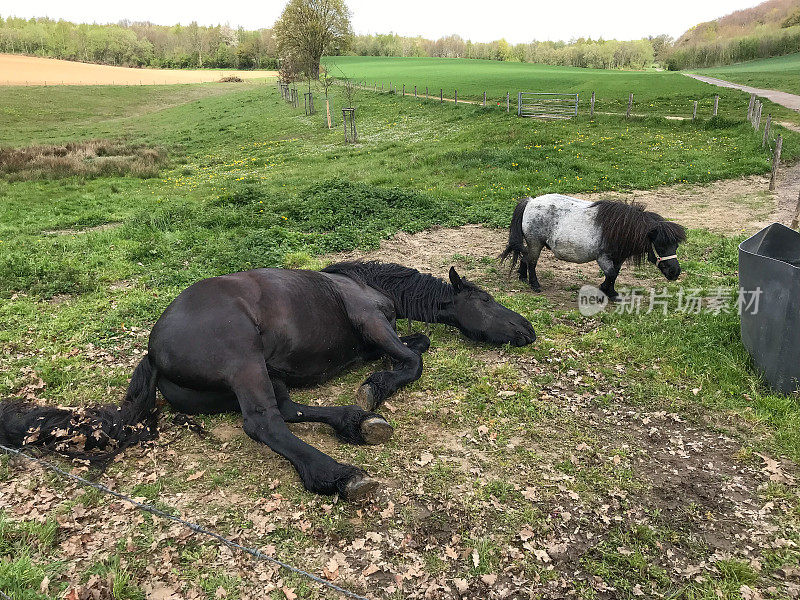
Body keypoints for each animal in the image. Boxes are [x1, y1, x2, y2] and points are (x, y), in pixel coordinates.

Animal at [3, 260, 536, 500]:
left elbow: (417, 344)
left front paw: (370, 394)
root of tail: (153, 352)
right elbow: (411, 359)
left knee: (286, 409)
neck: (362, 285)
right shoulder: (372, 324)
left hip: (252, 377)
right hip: (245, 363)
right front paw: (375, 388)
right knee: (264, 422)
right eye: (485, 299)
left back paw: (355, 423)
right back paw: (339, 473)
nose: (528, 331)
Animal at [504, 195, 684, 300]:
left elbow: (615, 274)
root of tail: (531, 201)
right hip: (536, 242)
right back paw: (534, 285)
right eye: (661, 246)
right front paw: (604, 291)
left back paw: (523, 277)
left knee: (525, 257)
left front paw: (611, 293)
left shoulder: (618, 257)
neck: (621, 228)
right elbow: (611, 274)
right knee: (532, 261)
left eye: (675, 246)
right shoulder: (603, 257)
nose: (675, 272)